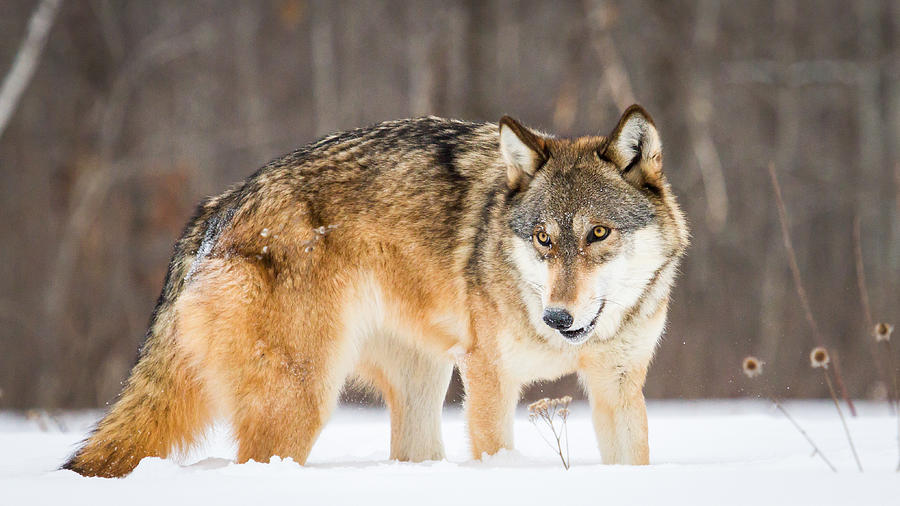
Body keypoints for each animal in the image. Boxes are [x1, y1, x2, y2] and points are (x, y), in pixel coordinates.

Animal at [63, 105, 688, 476]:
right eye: (543, 238)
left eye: (598, 233)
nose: (557, 318)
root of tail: (219, 207)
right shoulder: (491, 379)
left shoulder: (617, 386)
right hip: (302, 402)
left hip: (422, 386)